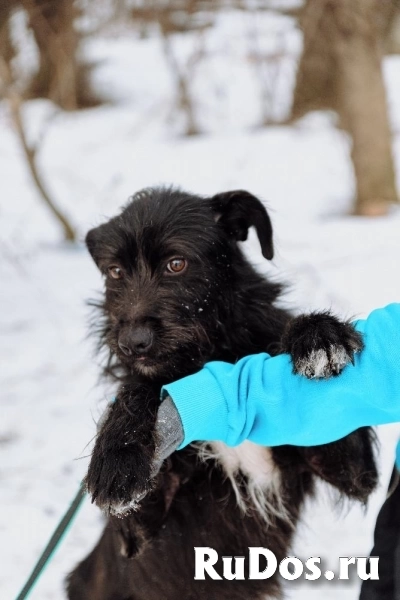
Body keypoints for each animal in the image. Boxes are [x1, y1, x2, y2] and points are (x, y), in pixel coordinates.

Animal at [68, 188, 378, 600]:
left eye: (177, 264)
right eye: (115, 272)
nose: (132, 343)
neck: (211, 362)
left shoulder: (352, 473)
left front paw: (317, 333)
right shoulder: (136, 533)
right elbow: (140, 387)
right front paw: (117, 456)